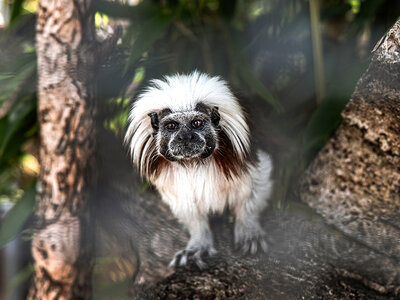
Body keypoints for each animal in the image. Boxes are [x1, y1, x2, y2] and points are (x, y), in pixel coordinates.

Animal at [126, 71, 272, 268]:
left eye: (196, 123)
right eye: (171, 126)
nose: (185, 137)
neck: (194, 162)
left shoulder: (247, 159)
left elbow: (252, 191)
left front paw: (249, 231)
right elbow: (190, 210)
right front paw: (198, 243)